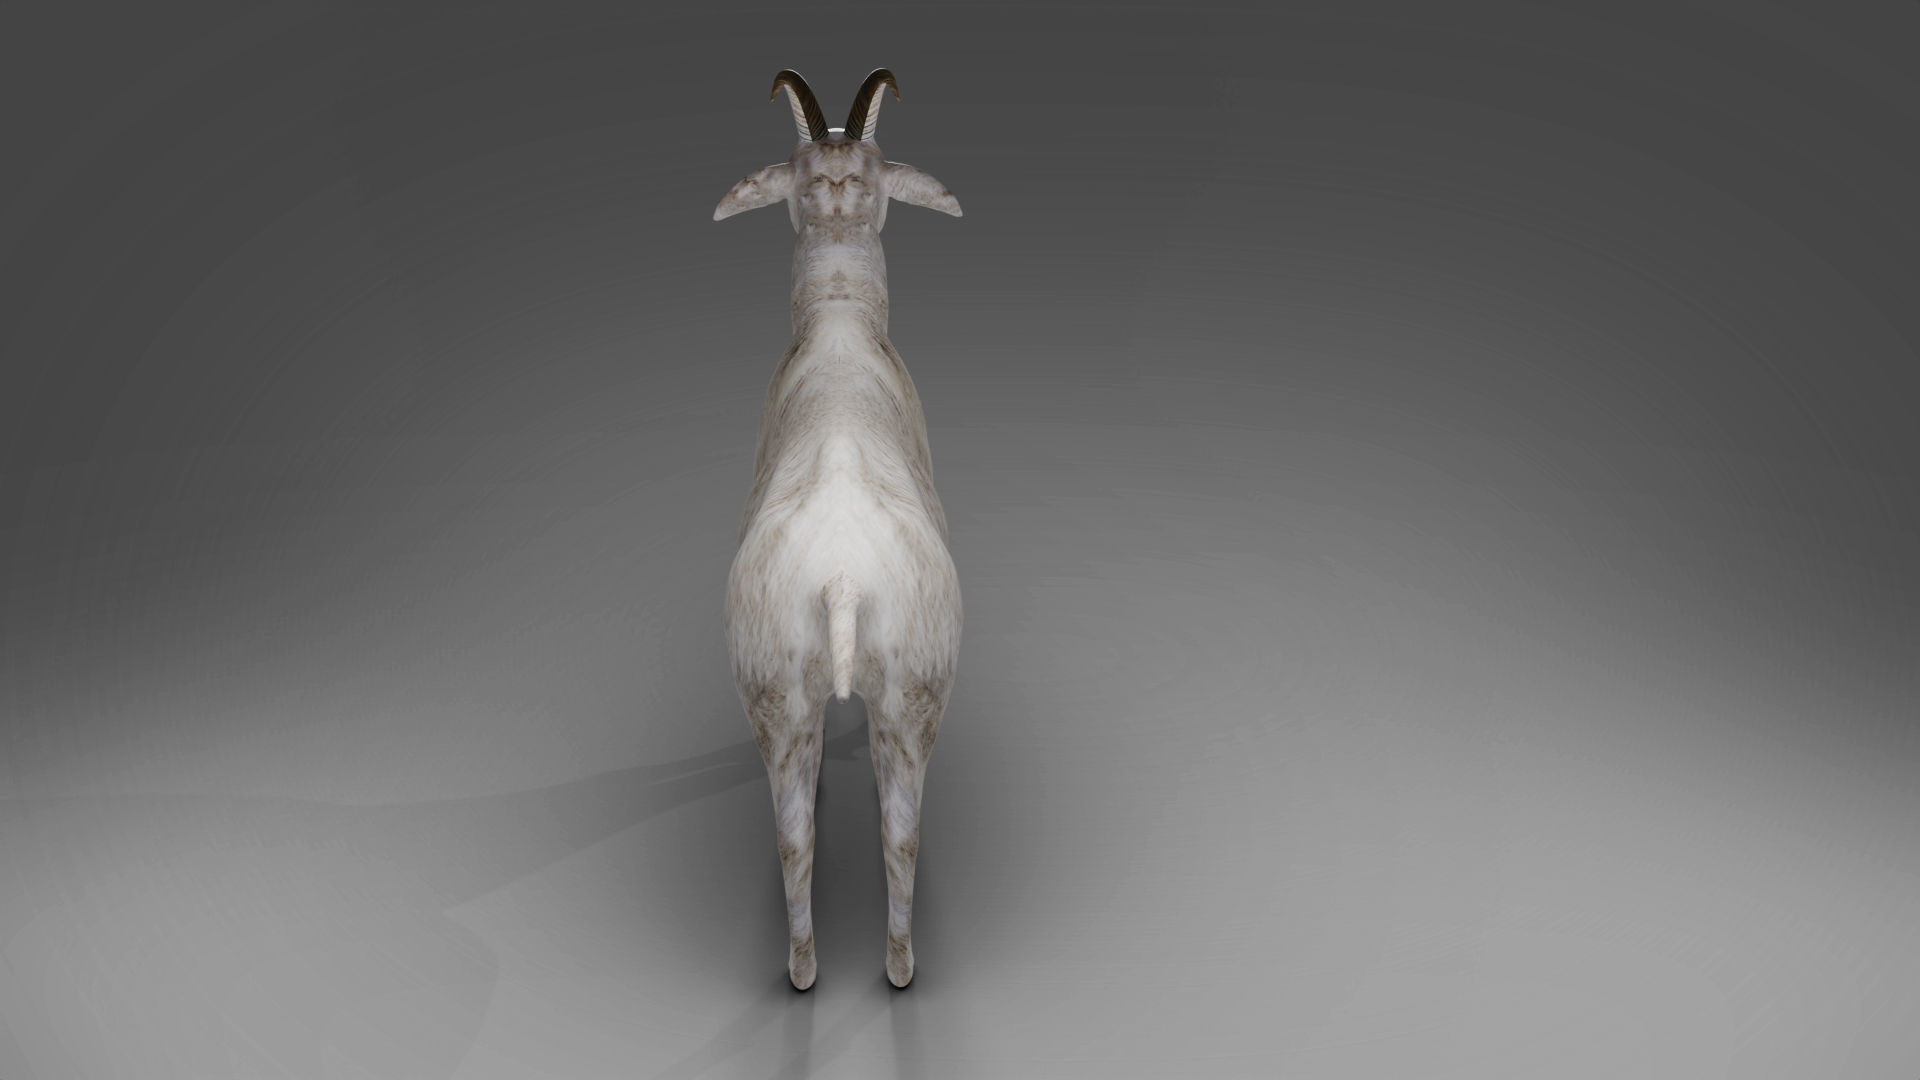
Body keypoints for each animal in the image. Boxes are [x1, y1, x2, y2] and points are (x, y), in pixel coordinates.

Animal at [715, 68, 964, 990]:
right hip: (895, 699)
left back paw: (826, 973)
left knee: (809, 837)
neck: (840, 320)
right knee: (886, 835)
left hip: (794, 699)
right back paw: (878, 973)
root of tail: (845, 583)